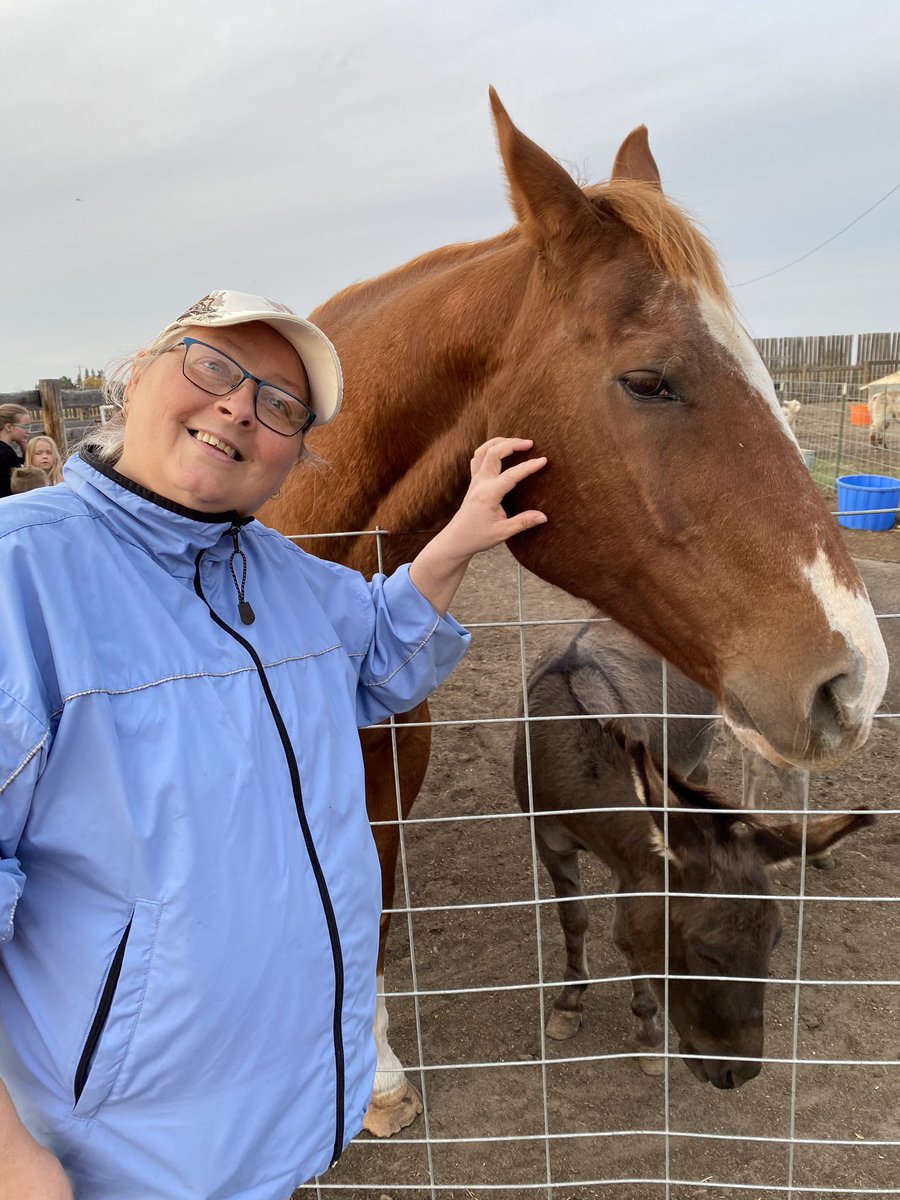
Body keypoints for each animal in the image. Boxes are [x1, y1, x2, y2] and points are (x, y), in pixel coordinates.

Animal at [512, 619, 872, 1086]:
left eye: (774, 939)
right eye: (704, 951)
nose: (741, 1071)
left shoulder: (632, 864)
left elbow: (625, 936)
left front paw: (648, 1032)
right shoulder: (550, 841)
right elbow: (574, 920)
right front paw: (569, 1004)